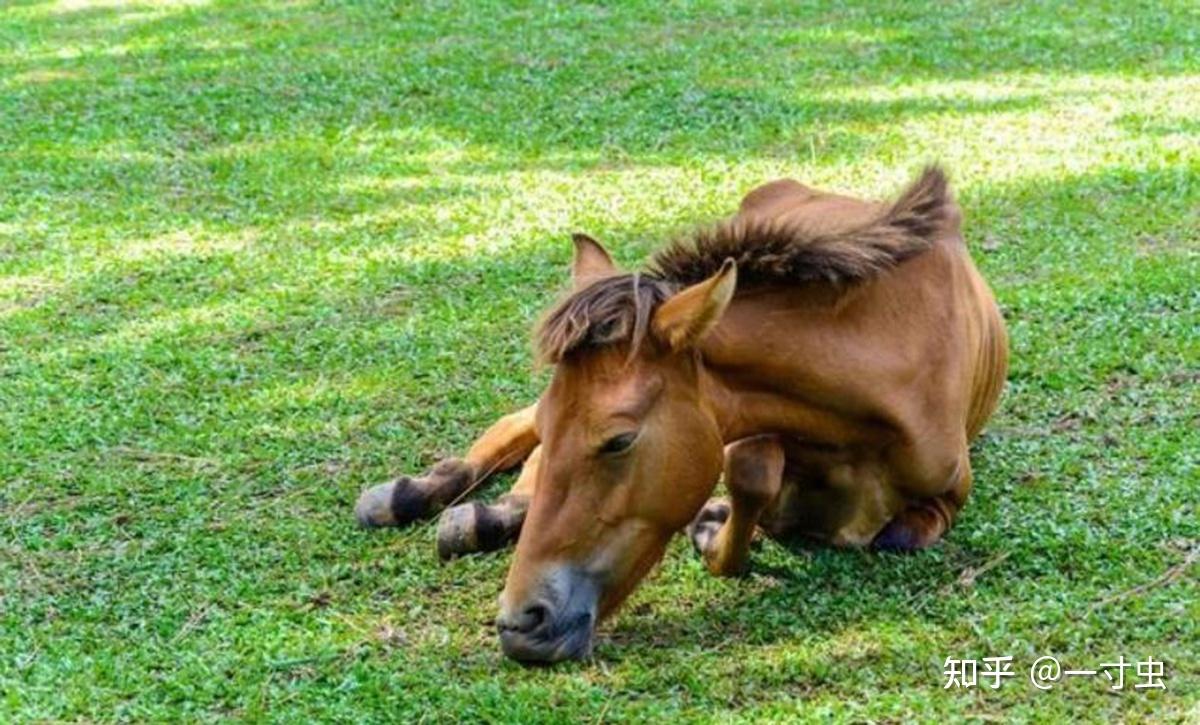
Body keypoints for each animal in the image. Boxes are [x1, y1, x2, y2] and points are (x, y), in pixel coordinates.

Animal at [357, 166, 1012, 667]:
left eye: (619, 441)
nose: (522, 624)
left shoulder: (946, 488)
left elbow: (894, 534)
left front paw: (716, 521)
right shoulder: (736, 428)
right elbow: (752, 473)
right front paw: (716, 522)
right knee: (513, 432)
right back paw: (422, 495)